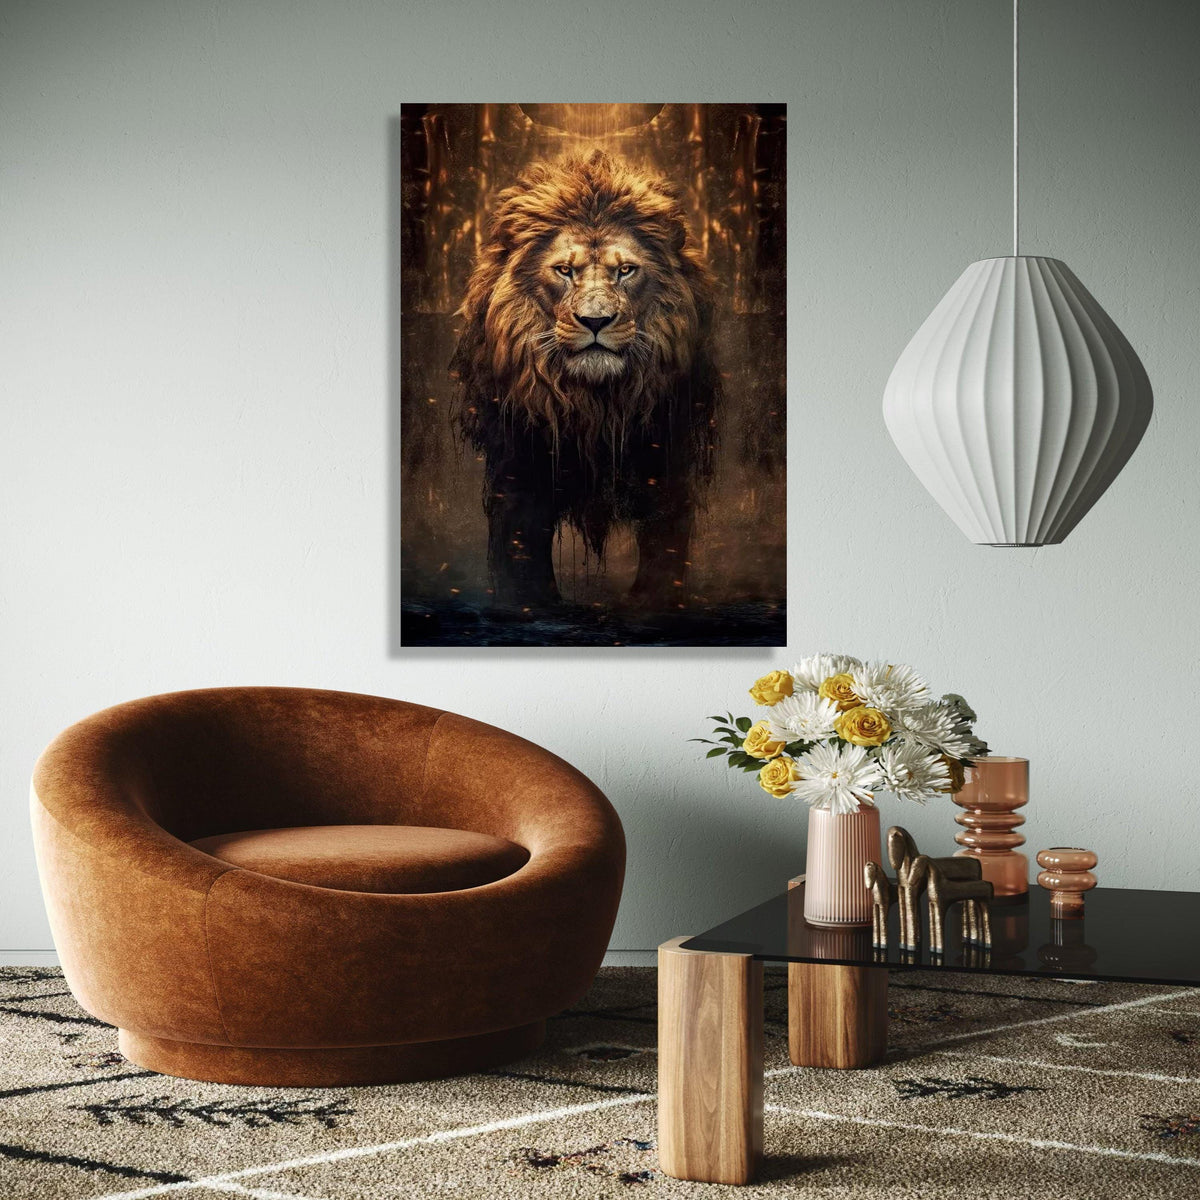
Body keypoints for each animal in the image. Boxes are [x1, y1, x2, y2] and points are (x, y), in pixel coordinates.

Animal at [451, 149, 719, 610]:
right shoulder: (519, 469)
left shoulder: (667, 463)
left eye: (626, 270)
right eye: (564, 270)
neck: (595, 407)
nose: (596, 321)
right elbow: (521, 559)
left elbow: (663, 551)